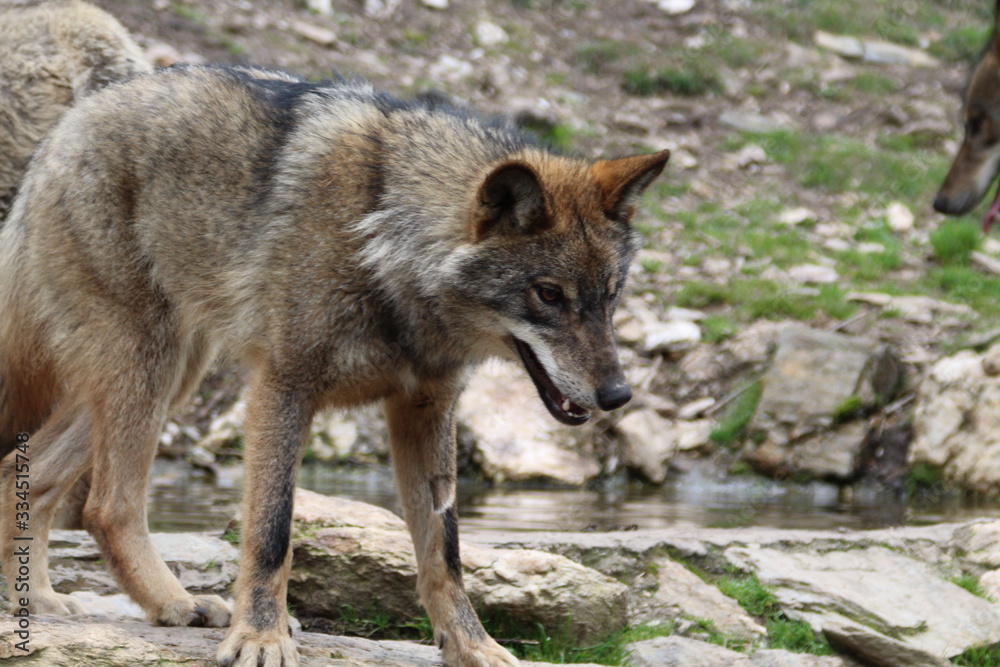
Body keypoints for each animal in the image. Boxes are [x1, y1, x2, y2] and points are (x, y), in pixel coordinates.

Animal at [1, 64, 672, 667]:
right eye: (549, 294)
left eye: (610, 295)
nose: (618, 395)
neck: (385, 240)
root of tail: (66, 126)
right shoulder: (282, 386)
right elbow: (272, 532)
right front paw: (261, 639)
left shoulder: (427, 409)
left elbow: (446, 553)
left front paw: (475, 648)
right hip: (150, 364)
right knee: (108, 505)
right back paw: (173, 604)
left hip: (170, 375)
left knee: (27, 471)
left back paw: (41, 604)